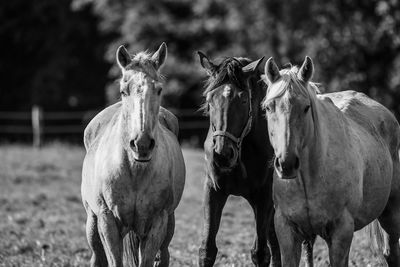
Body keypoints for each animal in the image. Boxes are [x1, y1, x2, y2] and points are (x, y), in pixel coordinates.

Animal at [197, 52, 282, 267]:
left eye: (243, 100)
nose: (222, 154)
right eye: (210, 99)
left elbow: (260, 253)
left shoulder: (264, 197)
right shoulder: (213, 190)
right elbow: (207, 250)